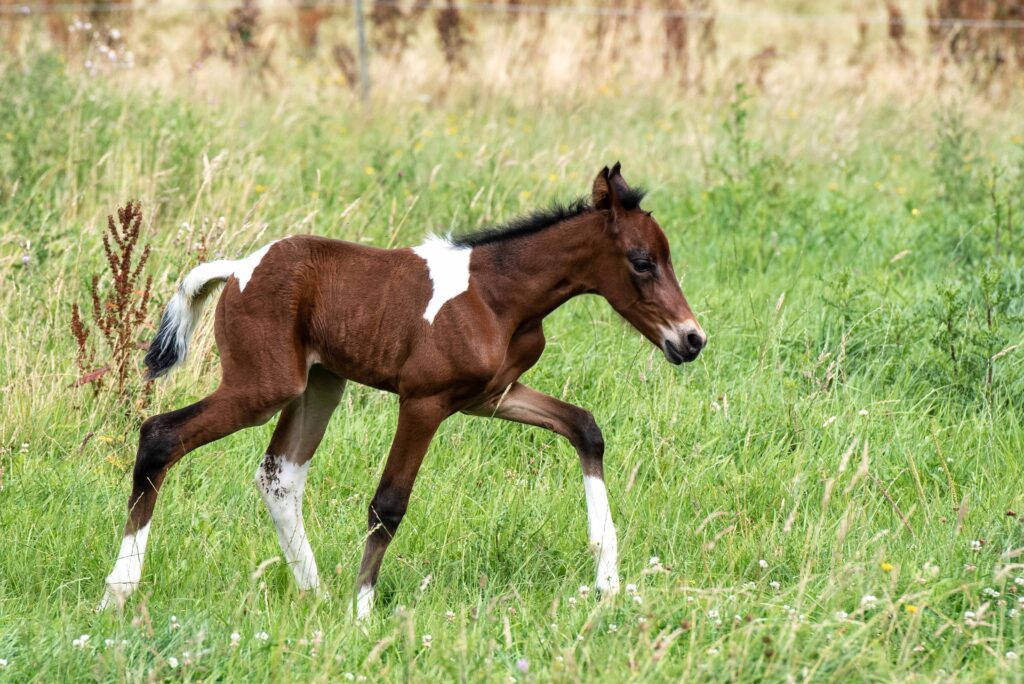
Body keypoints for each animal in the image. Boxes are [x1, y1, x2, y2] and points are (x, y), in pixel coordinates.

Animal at [99, 162, 708, 618]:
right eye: (642, 262)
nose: (691, 339)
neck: (496, 296)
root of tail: (240, 268)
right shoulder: (424, 401)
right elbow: (388, 503)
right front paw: (363, 612)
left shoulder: (493, 396)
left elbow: (585, 427)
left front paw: (608, 578)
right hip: (263, 386)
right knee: (161, 435)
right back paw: (118, 592)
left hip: (320, 385)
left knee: (278, 475)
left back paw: (313, 590)